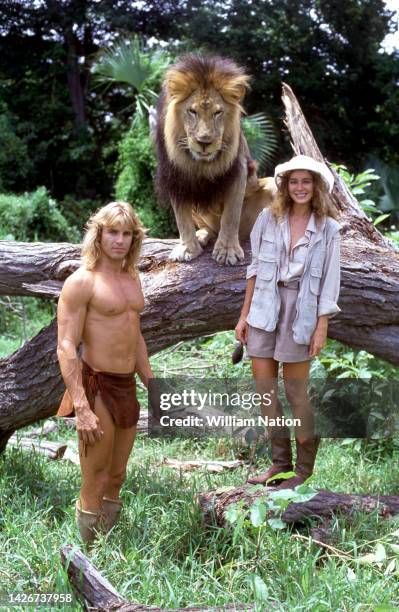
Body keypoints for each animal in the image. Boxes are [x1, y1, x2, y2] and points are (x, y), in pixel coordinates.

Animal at [155, 56, 276, 266]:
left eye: (218, 113)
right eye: (192, 111)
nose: (204, 142)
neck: (200, 163)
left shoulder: (239, 171)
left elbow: (231, 215)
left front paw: (227, 251)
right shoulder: (176, 177)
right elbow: (181, 218)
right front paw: (188, 248)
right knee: (209, 230)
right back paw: (202, 236)